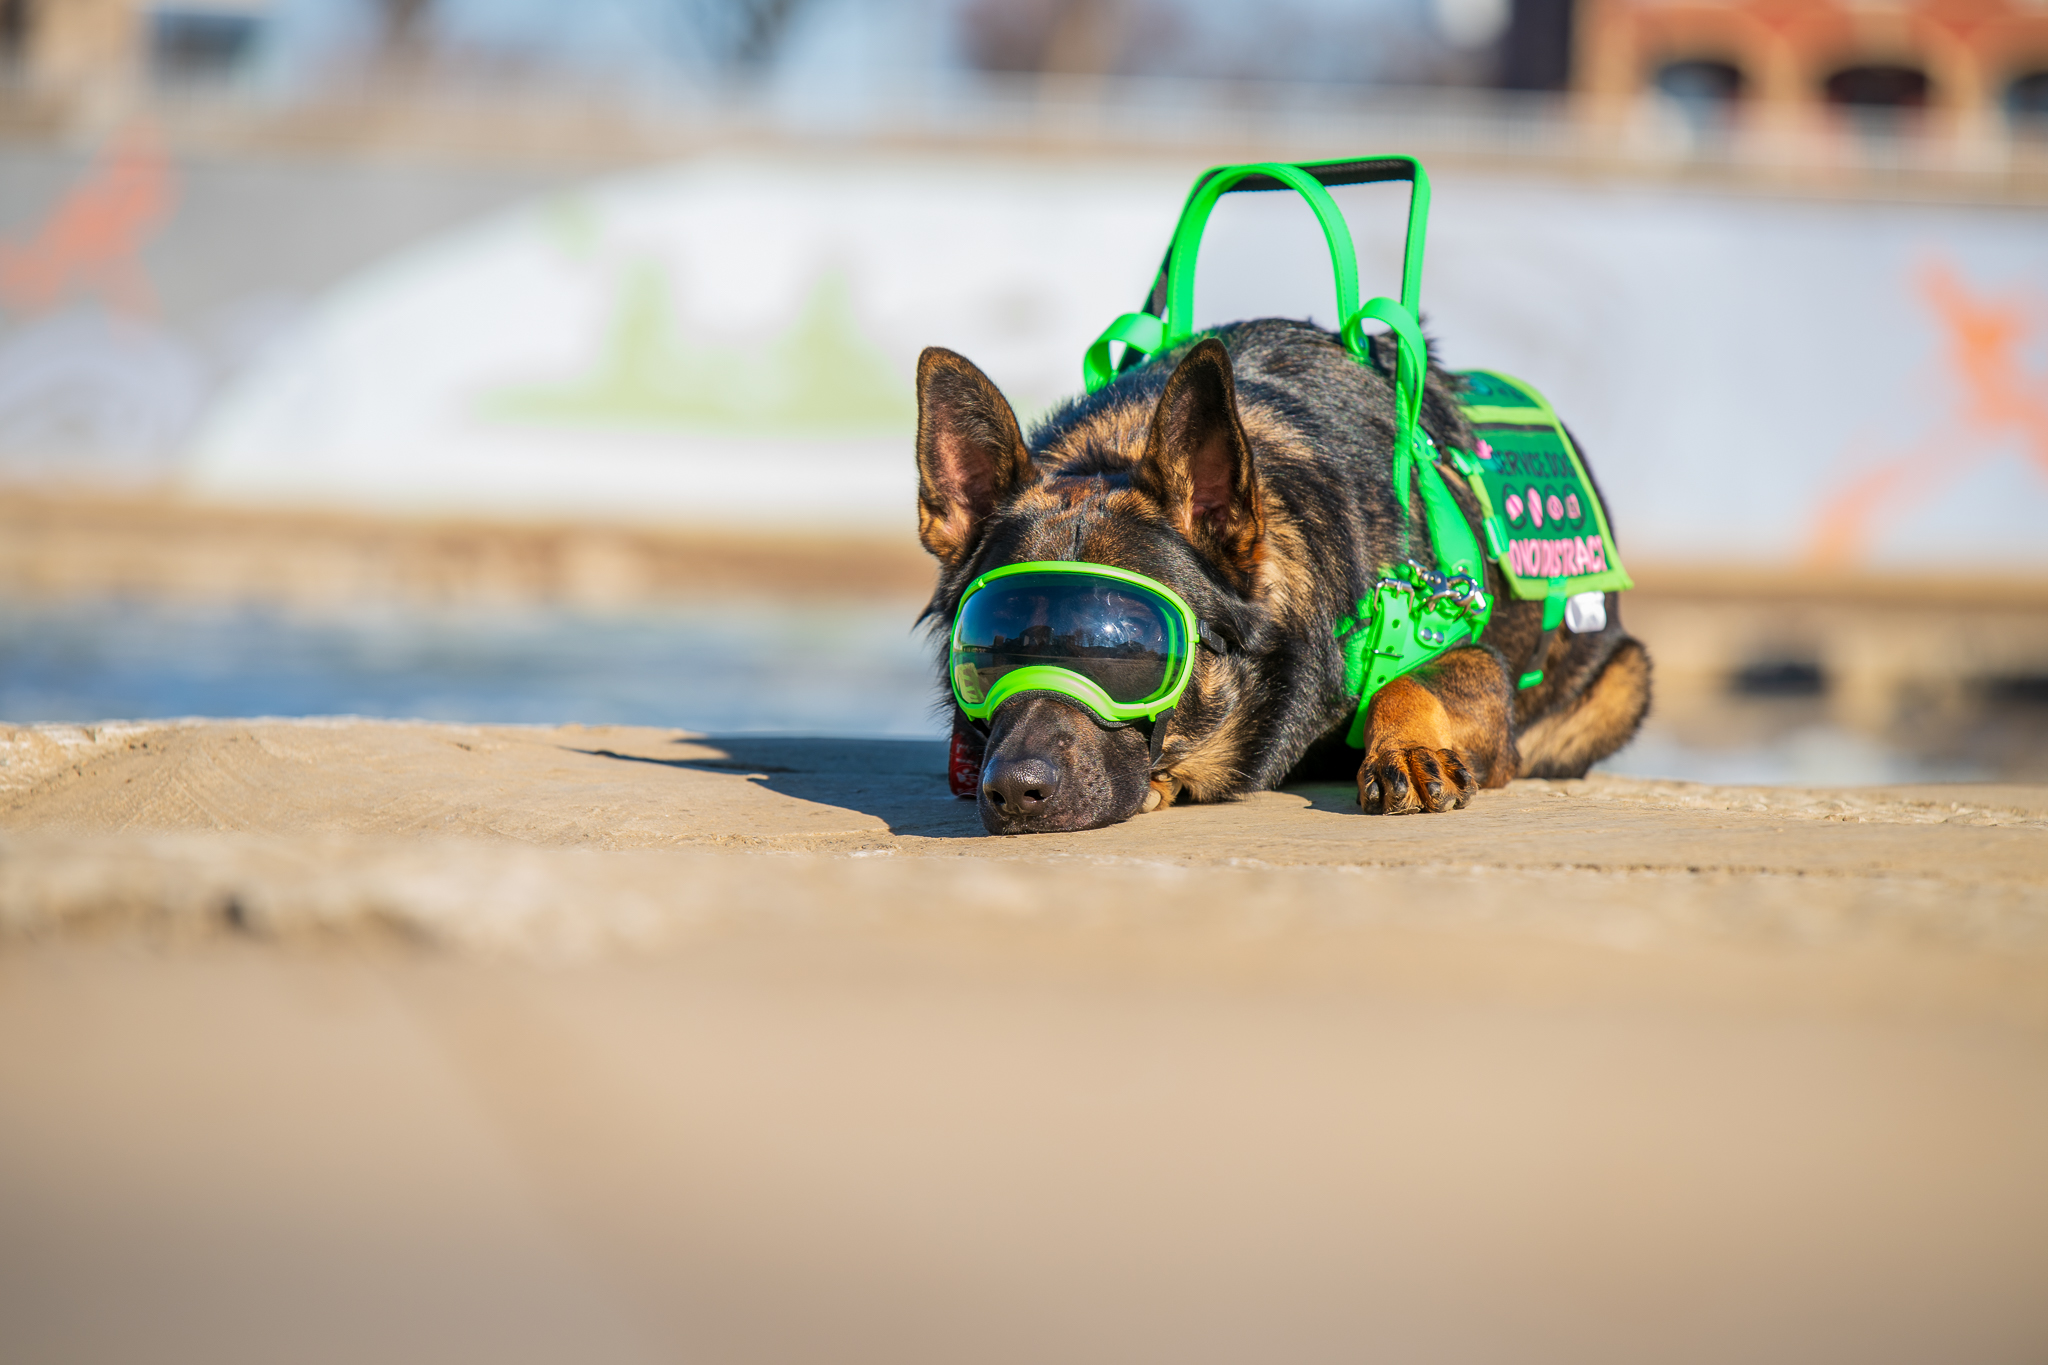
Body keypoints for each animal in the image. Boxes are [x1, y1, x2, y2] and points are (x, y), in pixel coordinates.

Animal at [915, 318, 1652, 835]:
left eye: (1128, 647)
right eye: (991, 644)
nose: (1014, 791)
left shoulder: (1467, 657)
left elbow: (1414, 681)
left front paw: (1407, 747)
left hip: (1623, 681)